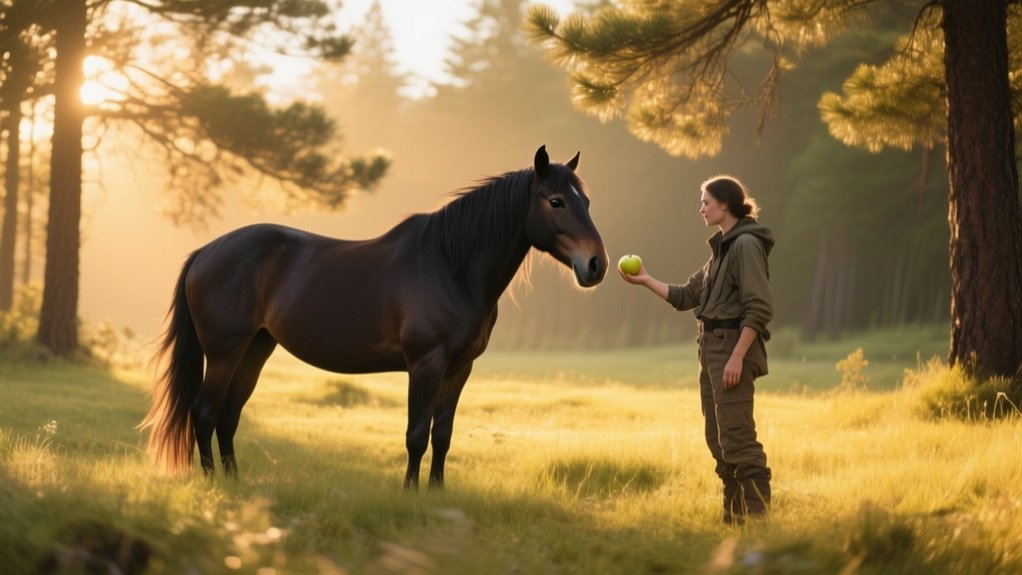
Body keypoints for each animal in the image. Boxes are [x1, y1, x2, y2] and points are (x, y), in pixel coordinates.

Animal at [141, 145, 608, 488]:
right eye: (556, 201)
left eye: (586, 200)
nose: (597, 265)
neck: (449, 266)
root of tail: (205, 252)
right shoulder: (425, 364)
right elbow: (416, 435)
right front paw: (410, 493)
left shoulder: (460, 369)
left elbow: (442, 435)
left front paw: (437, 493)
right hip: (224, 352)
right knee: (204, 412)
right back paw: (211, 482)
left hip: (256, 349)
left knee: (228, 416)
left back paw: (235, 481)